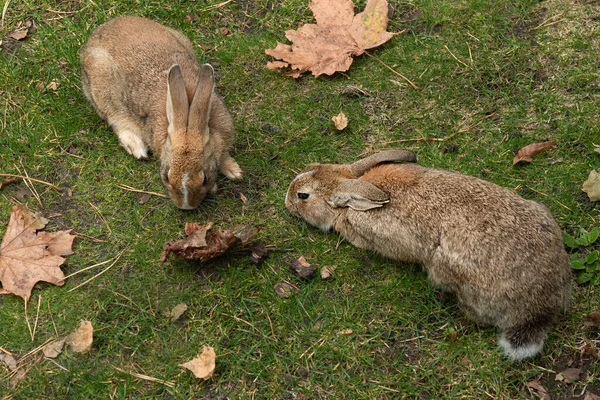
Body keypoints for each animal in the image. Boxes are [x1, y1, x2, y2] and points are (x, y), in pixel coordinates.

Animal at [81, 15, 243, 209]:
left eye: (204, 179)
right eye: (166, 176)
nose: (186, 207)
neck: (188, 119)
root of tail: (96, 35)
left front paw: (235, 171)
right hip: (103, 86)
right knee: (116, 120)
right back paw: (137, 148)